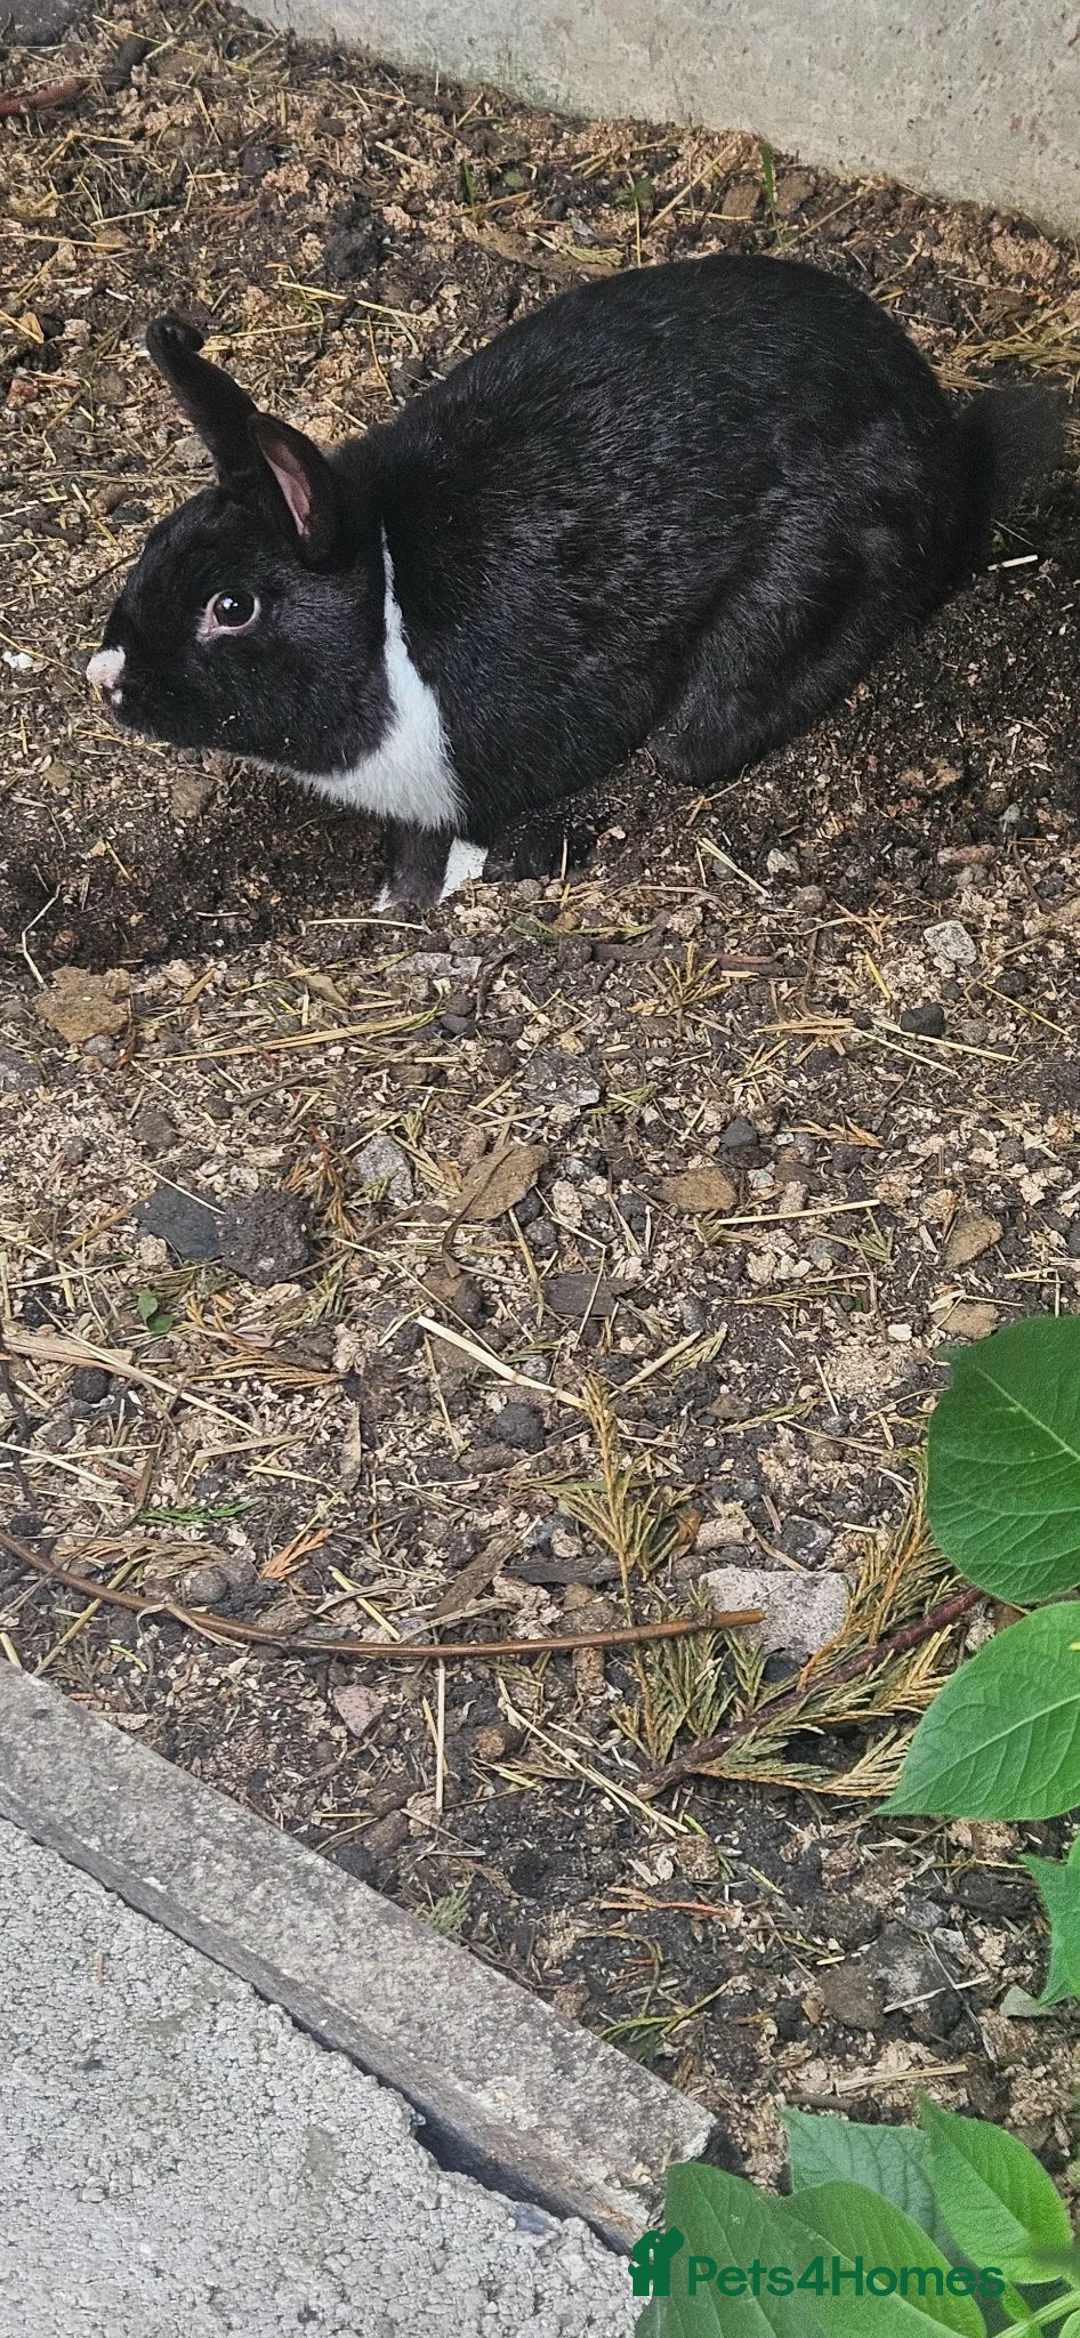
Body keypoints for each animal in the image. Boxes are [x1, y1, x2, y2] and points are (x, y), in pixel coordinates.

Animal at [86, 257, 1061, 907]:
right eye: (157, 541)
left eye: (232, 607)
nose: (108, 679)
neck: (388, 609)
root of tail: (945, 447)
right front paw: (396, 904)